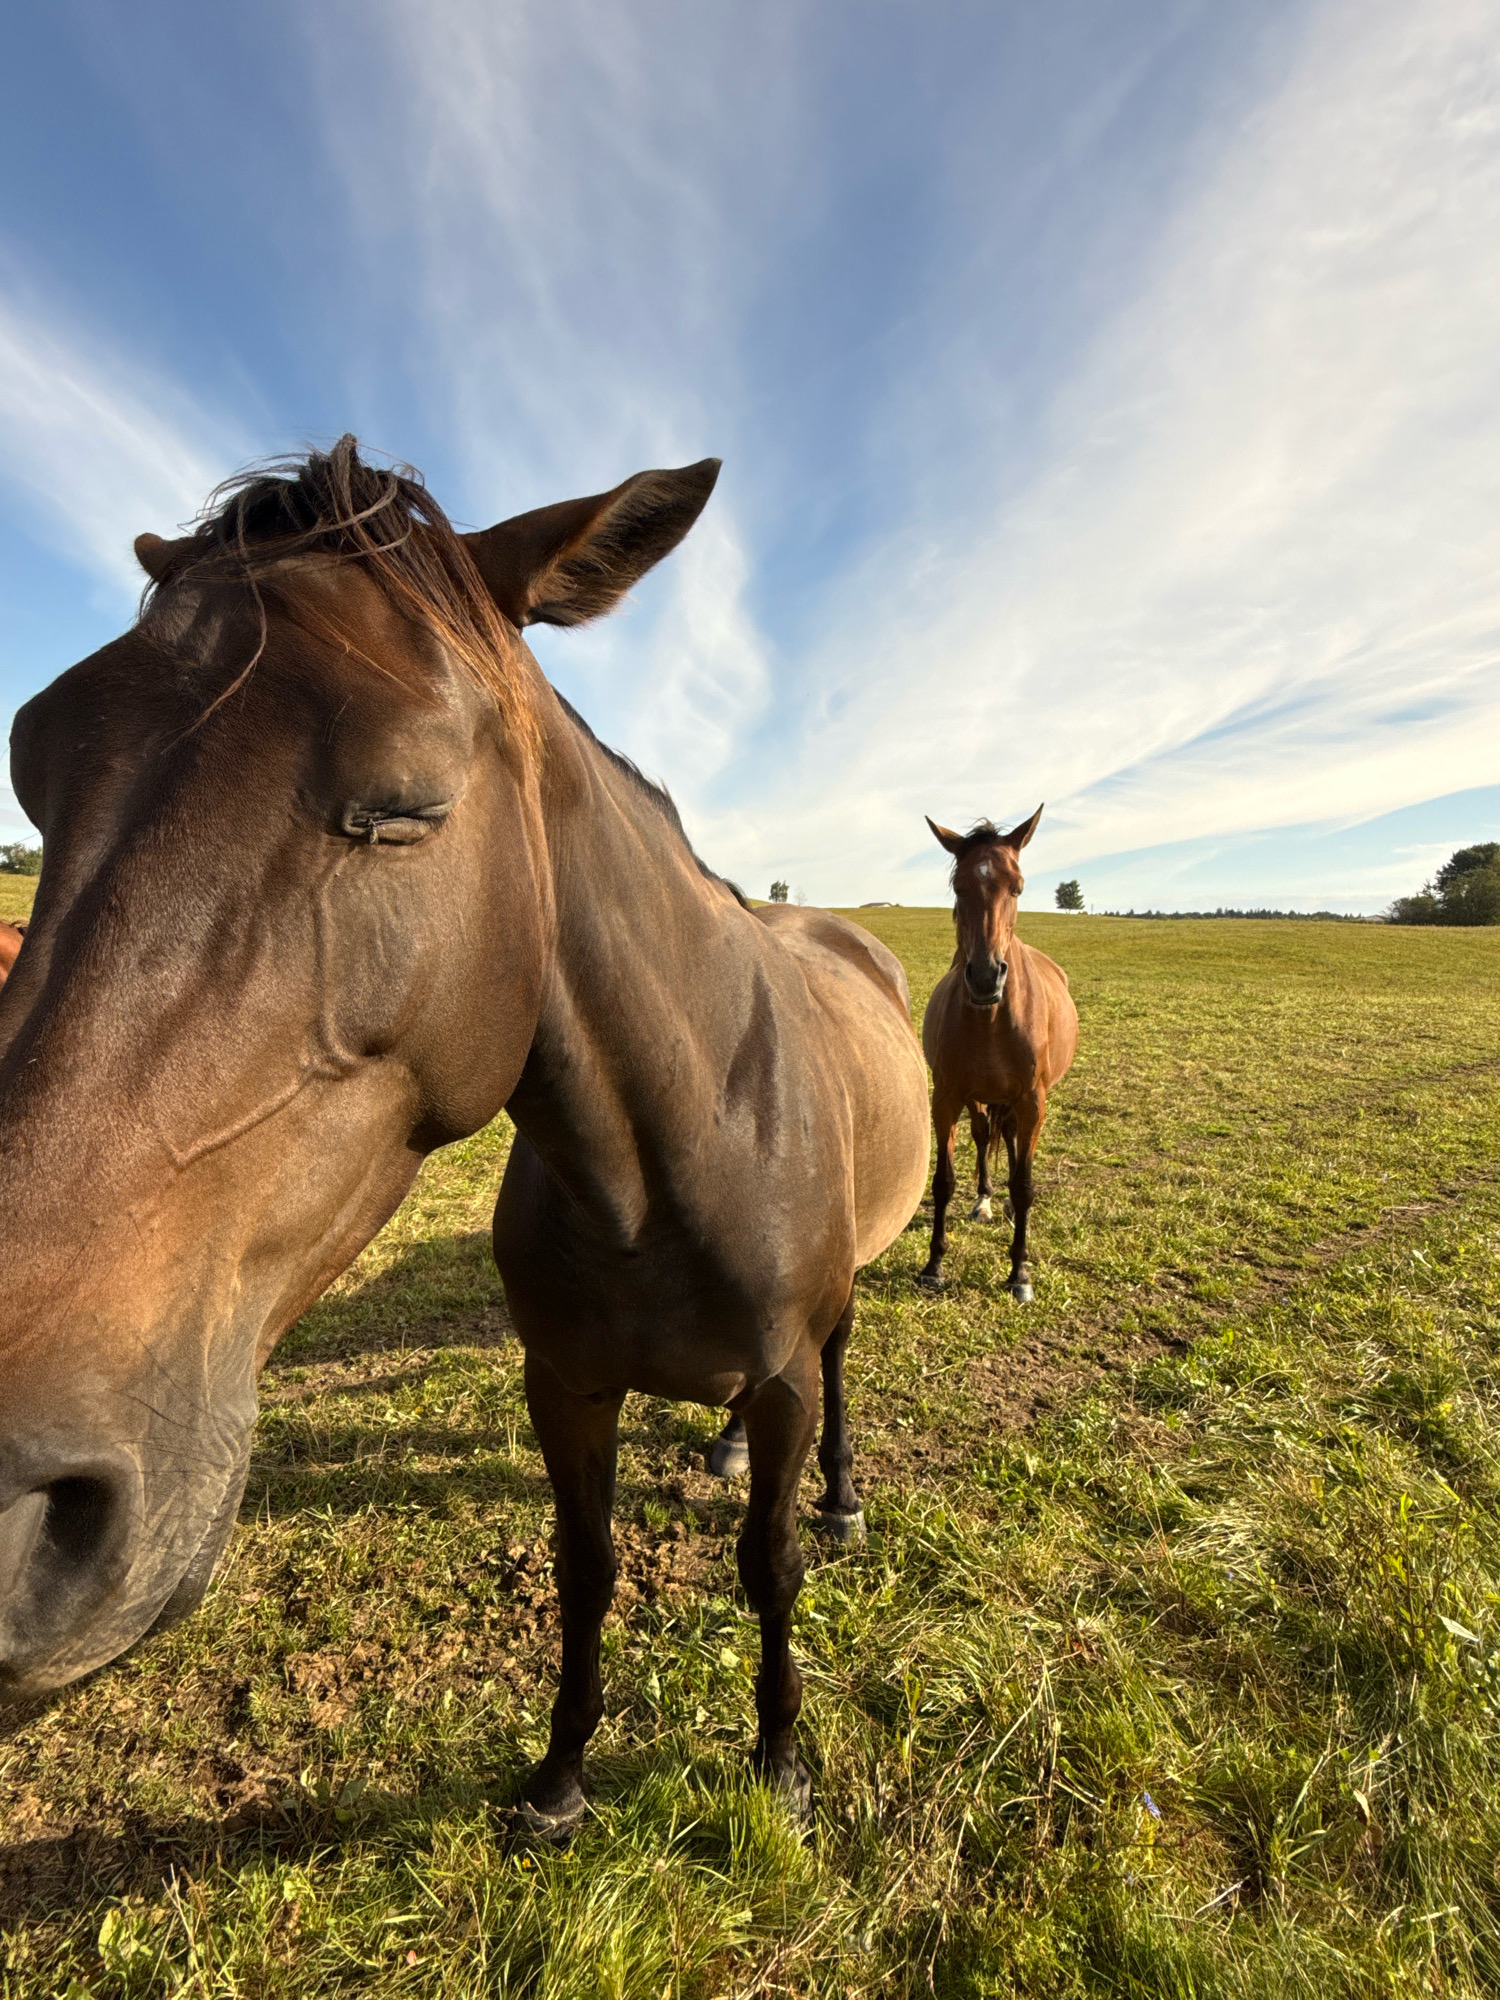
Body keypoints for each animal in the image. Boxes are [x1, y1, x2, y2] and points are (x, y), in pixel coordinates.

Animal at [0, 438, 931, 1835]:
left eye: (403, 806)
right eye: (35, 763)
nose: (9, 1506)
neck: (668, 1162)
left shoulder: (777, 1380)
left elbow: (766, 1567)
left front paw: (780, 1758)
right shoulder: (566, 1381)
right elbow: (585, 1565)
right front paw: (559, 1776)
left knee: (840, 1372)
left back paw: (842, 1496)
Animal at [917, 811, 1077, 1300]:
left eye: (1018, 887)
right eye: (959, 887)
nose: (986, 977)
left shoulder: (1032, 1101)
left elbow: (1024, 1185)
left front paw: (1019, 1272)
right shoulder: (946, 1097)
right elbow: (944, 1180)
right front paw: (934, 1264)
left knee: (1007, 1139)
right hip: (979, 1098)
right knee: (988, 1134)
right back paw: (986, 1198)